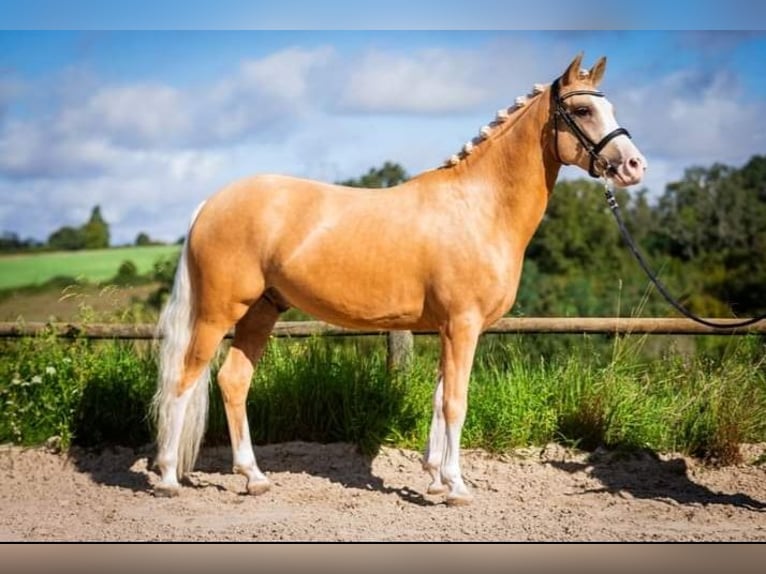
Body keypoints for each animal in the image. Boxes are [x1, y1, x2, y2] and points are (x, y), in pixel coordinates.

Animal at [152, 53, 648, 504]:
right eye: (582, 111)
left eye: (610, 107)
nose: (634, 166)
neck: (479, 207)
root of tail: (211, 204)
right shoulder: (463, 325)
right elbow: (456, 402)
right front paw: (457, 487)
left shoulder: (449, 329)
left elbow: (439, 399)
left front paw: (435, 479)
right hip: (218, 313)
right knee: (183, 380)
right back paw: (169, 478)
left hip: (261, 310)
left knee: (234, 381)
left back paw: (254, 477)